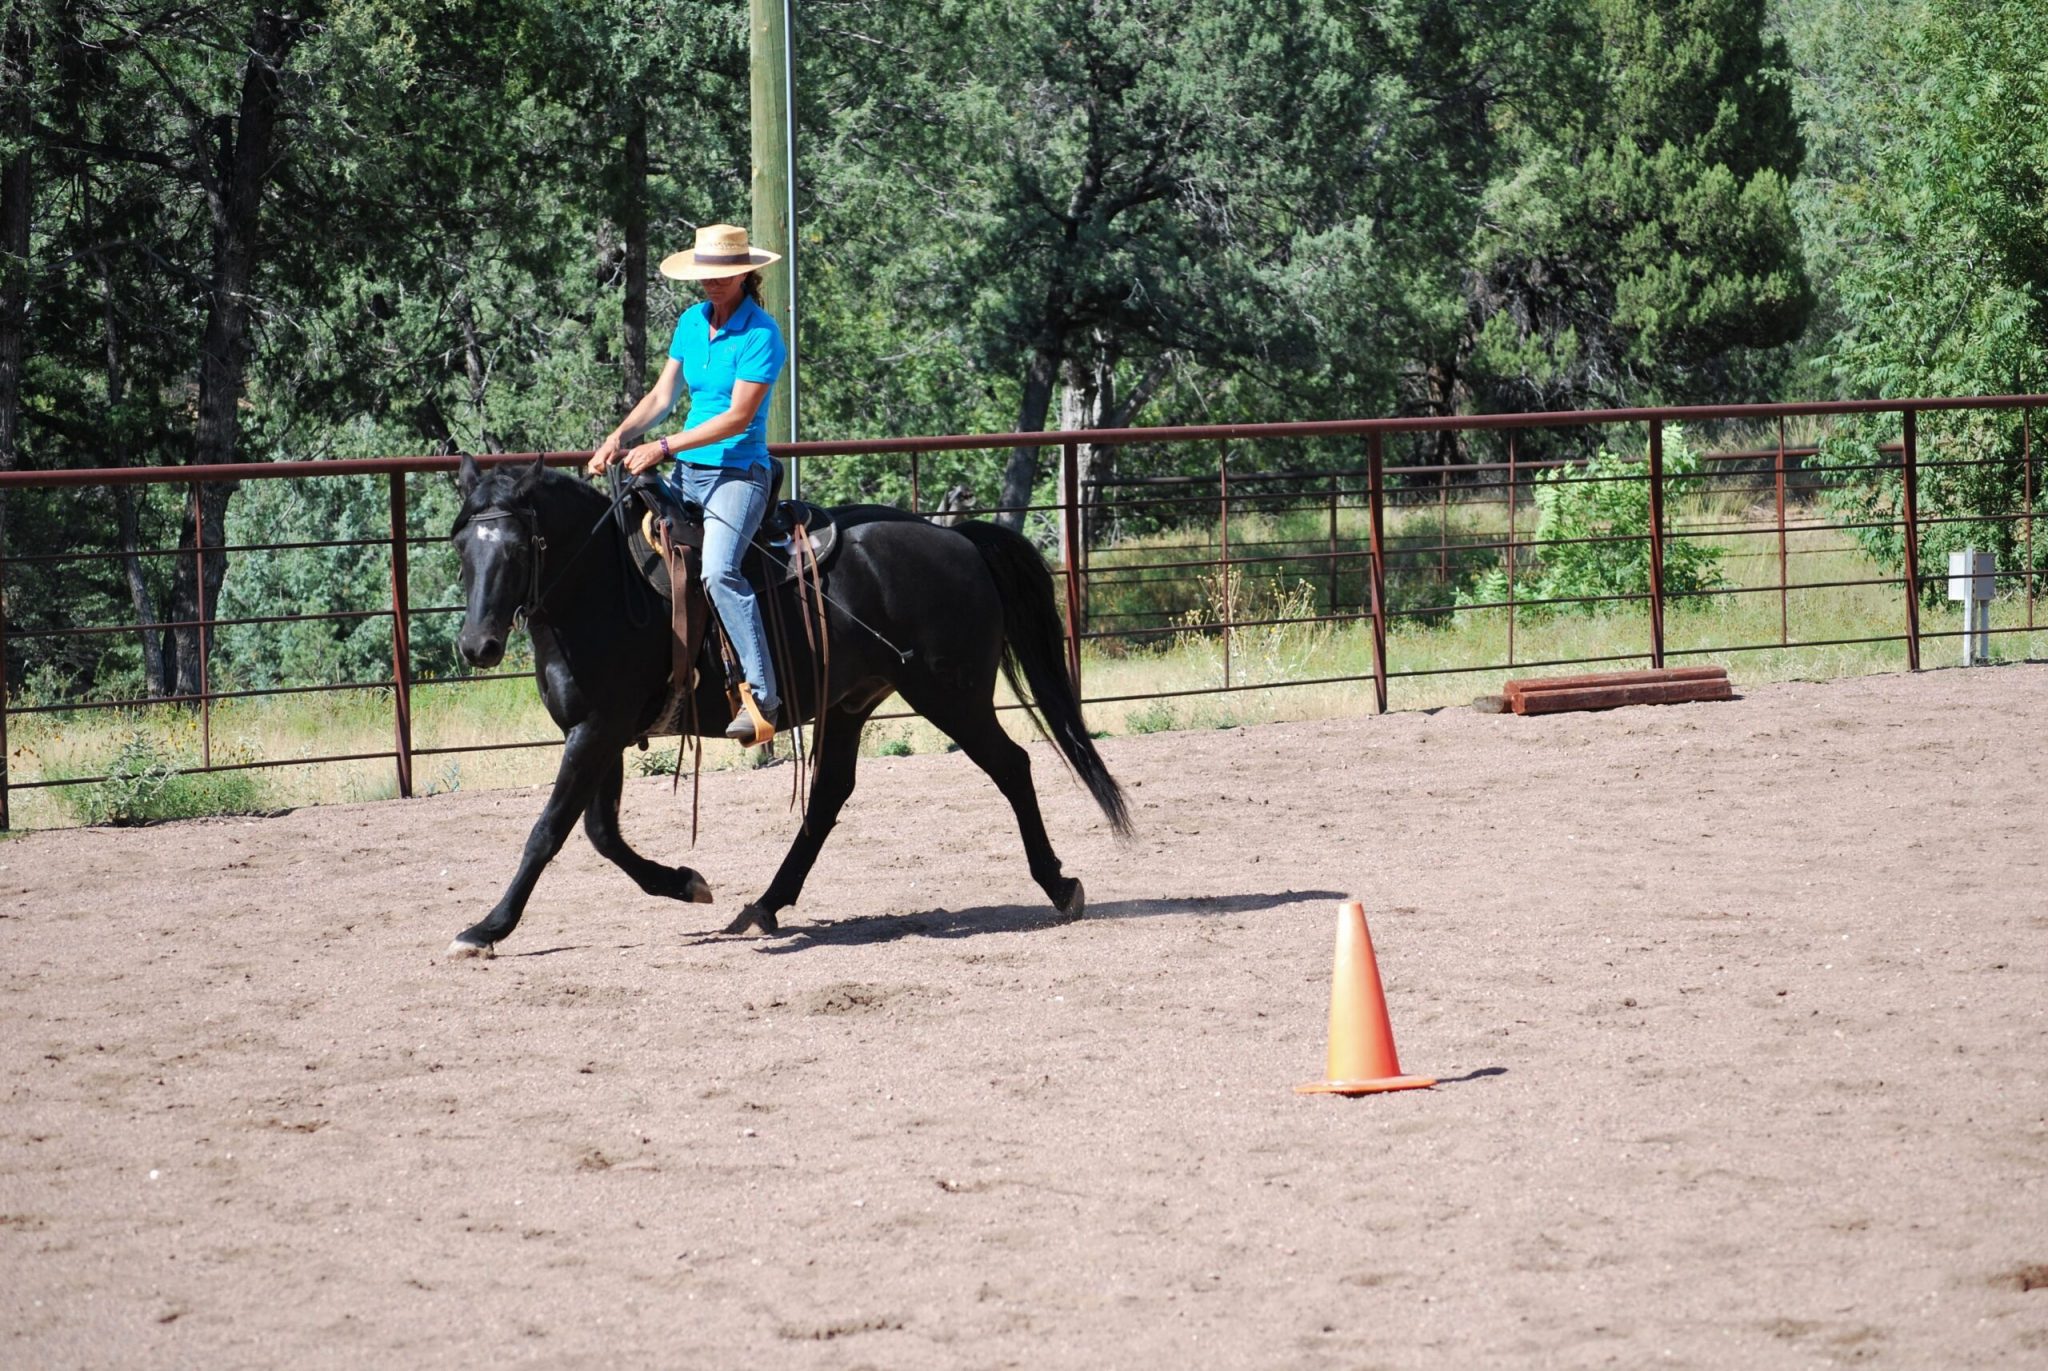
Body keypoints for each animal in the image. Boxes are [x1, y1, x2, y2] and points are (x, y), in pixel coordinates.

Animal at [442, 454, 1138, 959]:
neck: (607, 588)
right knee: (828, 796)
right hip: (853, 703)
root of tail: (958, 542)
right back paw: (764, 905)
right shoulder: (597, 735)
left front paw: (486, 928)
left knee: (1012, 766)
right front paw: (684, 882)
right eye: (462, 548)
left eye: (517, 548)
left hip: (952, 695)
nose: (478, 645)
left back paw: (1060, 885)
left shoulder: (596, 731)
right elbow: (601, 834)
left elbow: (548, 832)